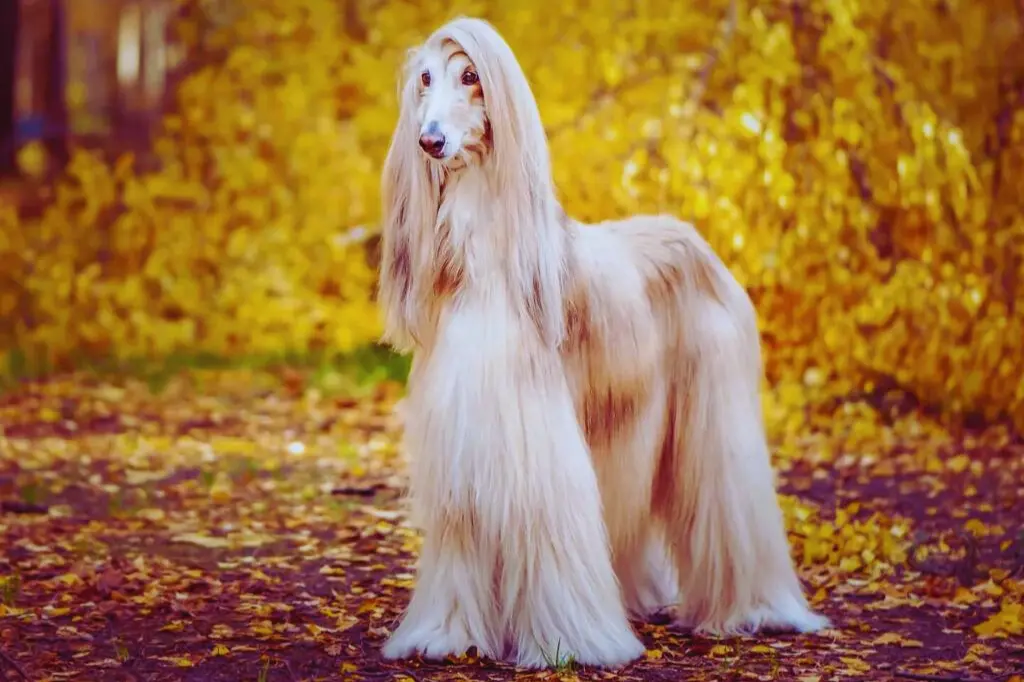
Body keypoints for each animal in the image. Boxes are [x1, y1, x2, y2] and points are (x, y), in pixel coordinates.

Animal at [378, 17, 831, 667]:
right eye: (424, 79)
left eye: (470, 76)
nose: (430, 141)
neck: (488, 268)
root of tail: (690, 234)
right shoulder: (463, 439)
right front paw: (446, 635)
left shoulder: (537, 446)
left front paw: (568, 643)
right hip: (626, 426)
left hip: (715, 414)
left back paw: (756, 609)